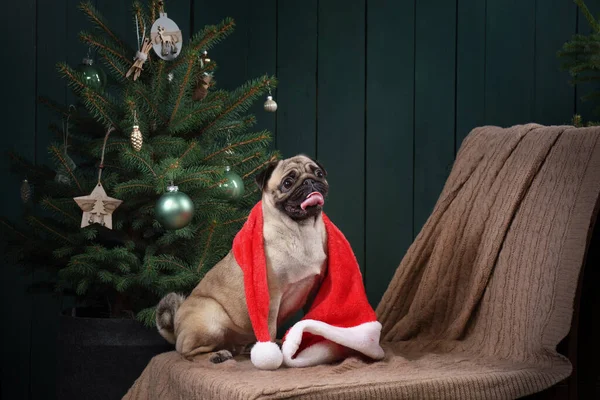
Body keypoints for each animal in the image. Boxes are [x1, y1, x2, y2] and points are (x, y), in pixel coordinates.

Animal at [156, 155, 328, 364]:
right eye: (288, 183)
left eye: (319, 173)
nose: (310, 181)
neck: (302, 231)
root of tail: (176, 326)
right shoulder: (270, 296)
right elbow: (269, 329)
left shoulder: (314, 290)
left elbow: (312, 318)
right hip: (211, 321)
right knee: (186, 353)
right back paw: (216, 355)